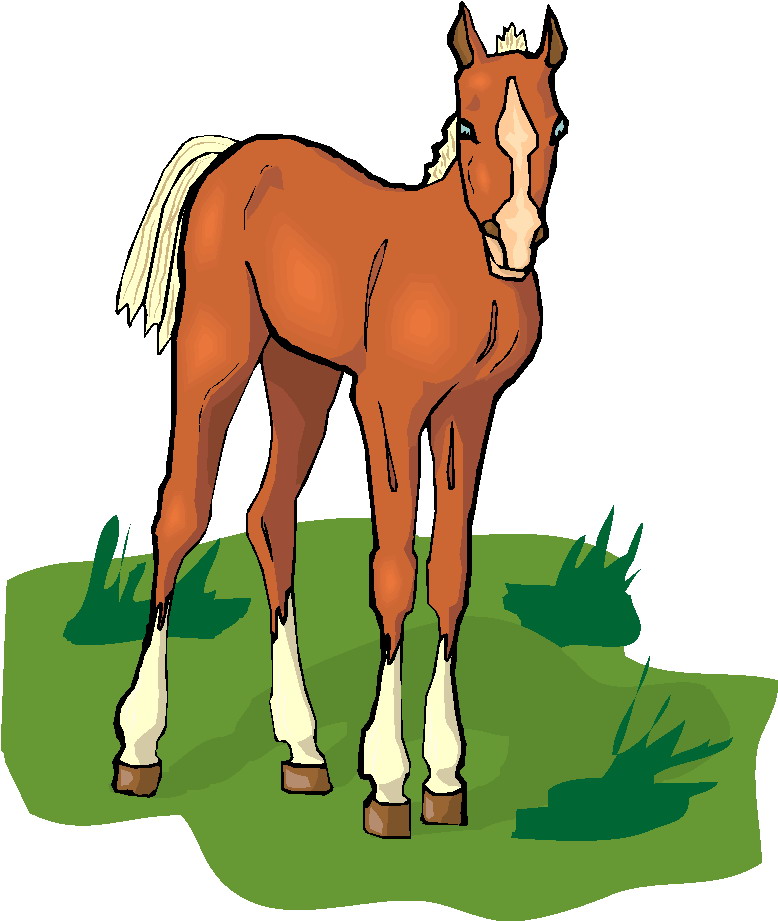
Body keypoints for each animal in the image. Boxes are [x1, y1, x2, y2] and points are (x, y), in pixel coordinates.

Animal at [111, 3, 568, 839]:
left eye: (557, 126)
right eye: (471, 124)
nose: (517, 239)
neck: (462, 262)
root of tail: (234, 154)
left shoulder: (468, 412)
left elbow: (450, 573)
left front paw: (445, 778)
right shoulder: (388, 406)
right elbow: (393, 574)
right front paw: (388, 784)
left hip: (303, 374)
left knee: (269, 515)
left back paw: (303, 751)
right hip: (217, 354)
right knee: (181, 513)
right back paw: (139, 747)